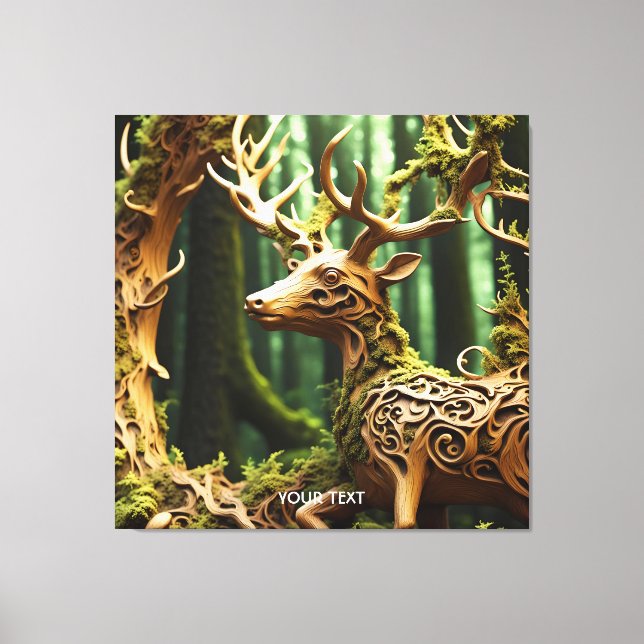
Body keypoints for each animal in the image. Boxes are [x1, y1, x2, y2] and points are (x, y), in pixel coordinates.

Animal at [208, 115, 529, 529]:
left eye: (331, 276)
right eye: (295, 268)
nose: (254, 300)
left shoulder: (407, 466)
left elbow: (400, 521)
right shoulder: (385, 488)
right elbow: (304, 511)